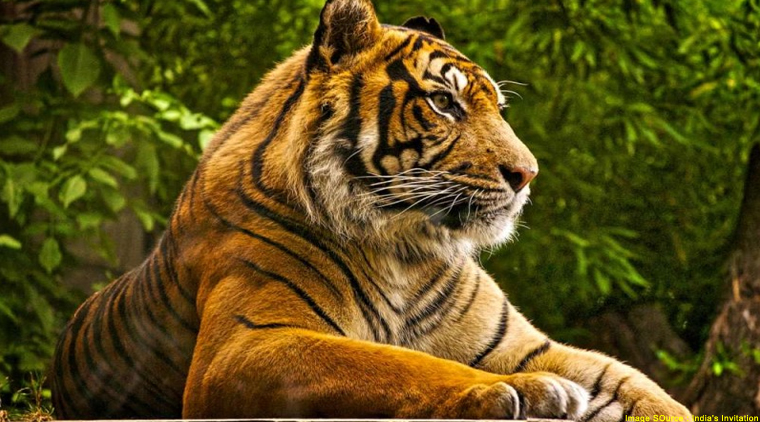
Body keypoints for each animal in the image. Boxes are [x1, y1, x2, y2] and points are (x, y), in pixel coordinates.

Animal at [51, 0, 693, 420]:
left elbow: (638, 384)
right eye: (445, 103)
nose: (527, 174)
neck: (405, 247)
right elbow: (394, 364)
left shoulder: (523, 345)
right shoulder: (244, 347)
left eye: (498, 108)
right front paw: (522, 393)